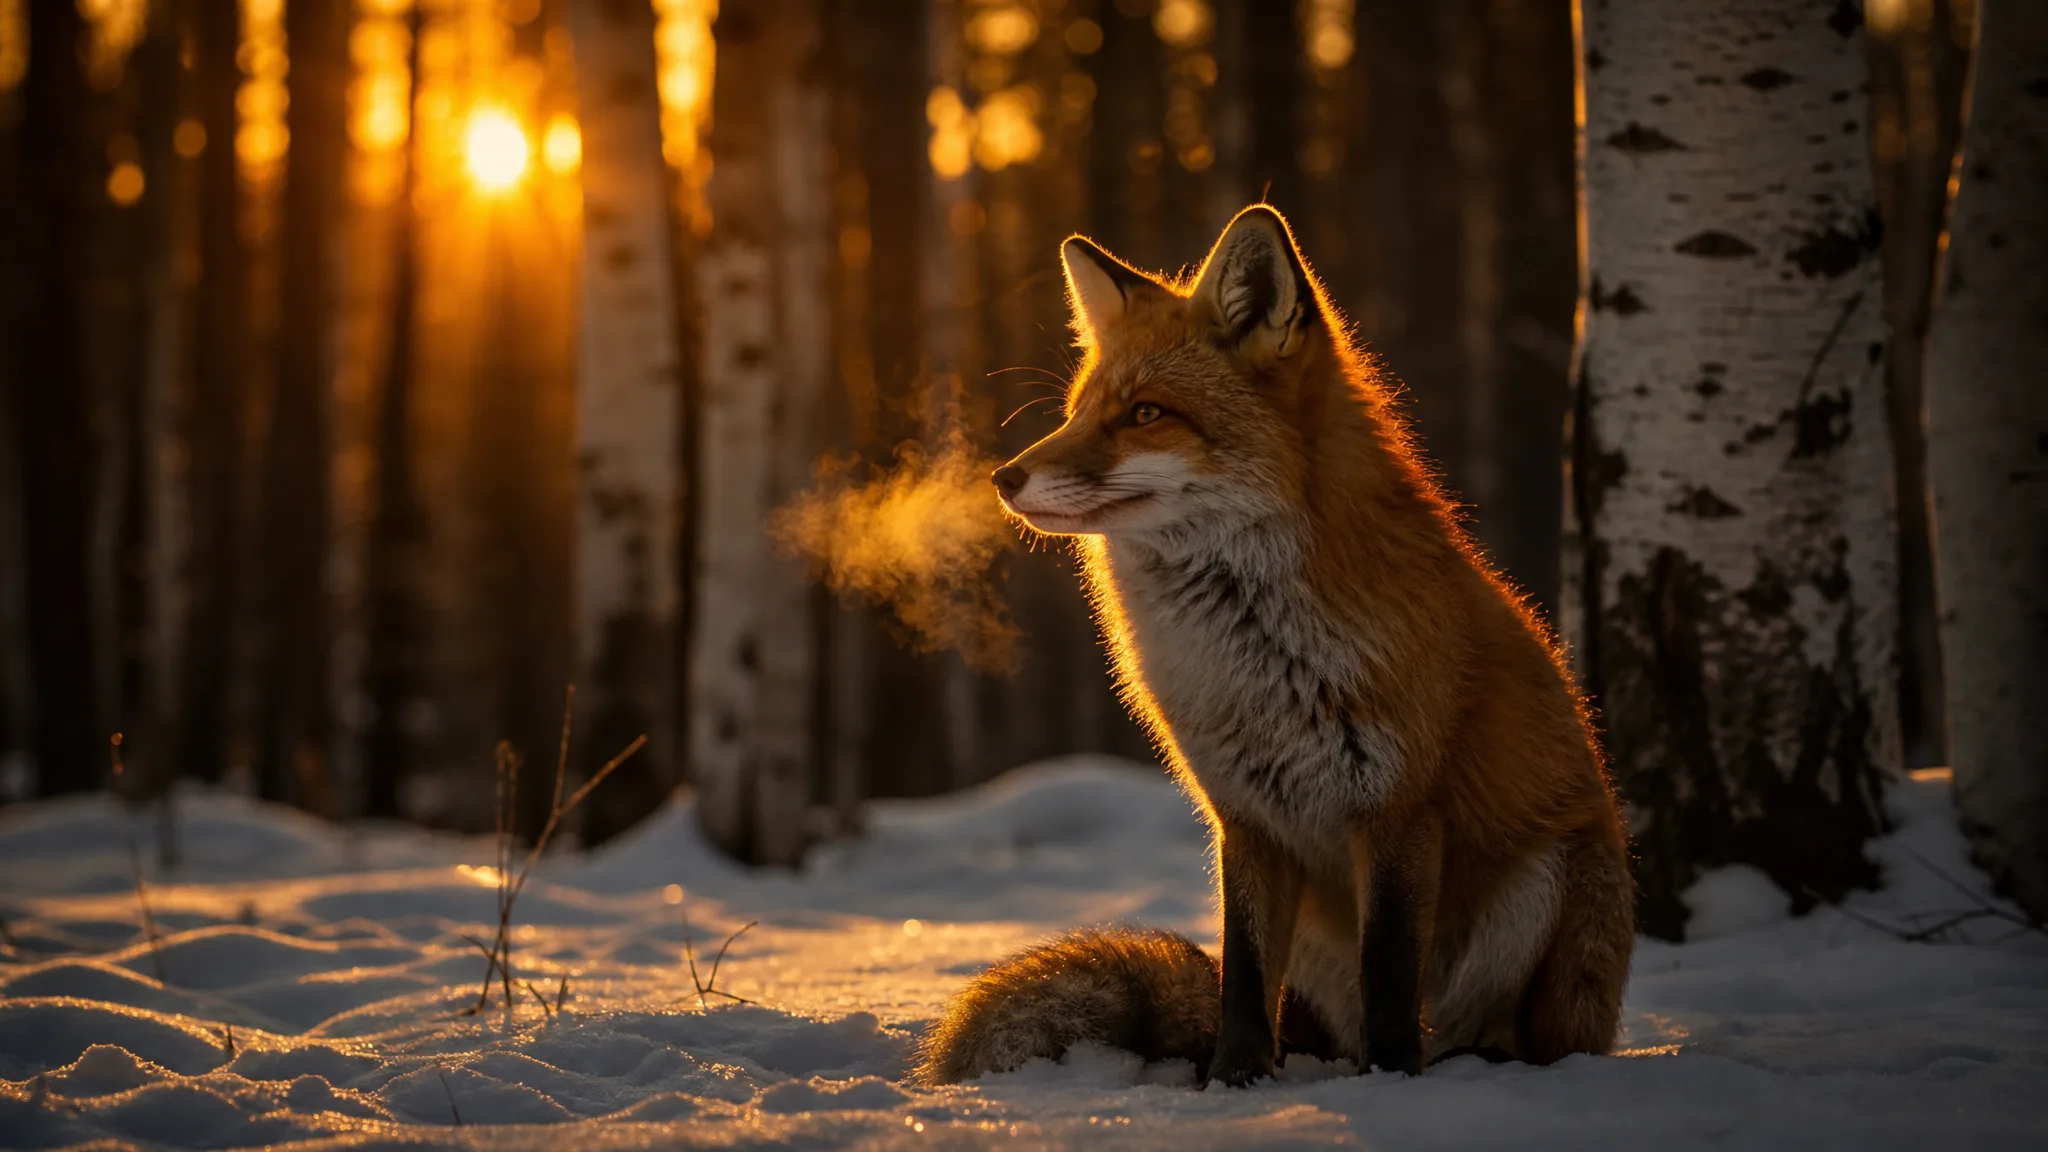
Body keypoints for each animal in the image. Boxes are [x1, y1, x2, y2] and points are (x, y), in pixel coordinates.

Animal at [912, 206, 1634, 1089]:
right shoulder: (1246, 820)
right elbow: (1245, 982)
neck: (1257, 664)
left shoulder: (1400, 813)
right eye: (1078, 411)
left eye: (1145, 414)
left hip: (1555, 879)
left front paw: (1393, 1085)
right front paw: (1233, 1082)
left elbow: (1390, 977)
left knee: (1510, 1034)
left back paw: (1470, 1064)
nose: (1002, 478)